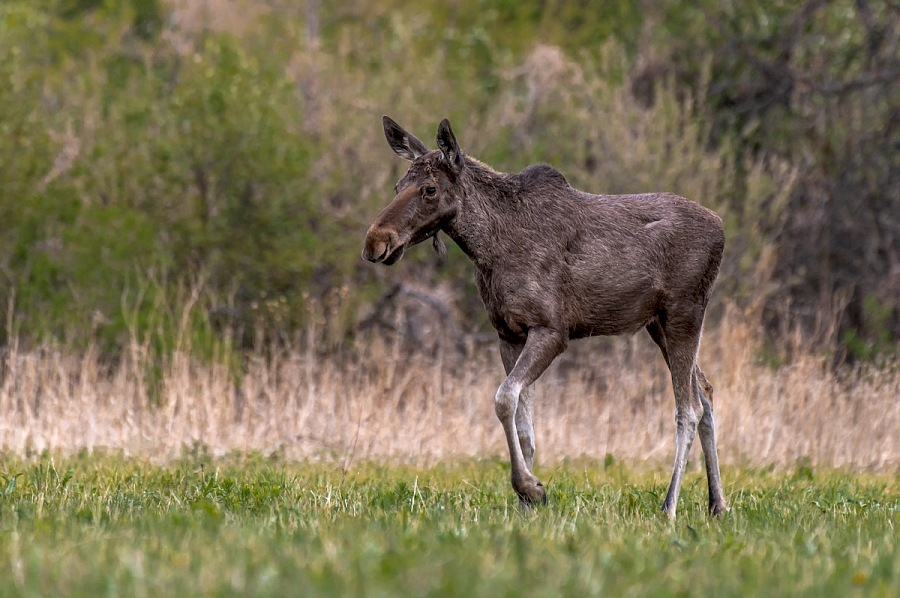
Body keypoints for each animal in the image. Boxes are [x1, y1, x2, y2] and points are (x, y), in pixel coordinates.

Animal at [362, 116, 728, 520]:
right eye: (398, 186)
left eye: (429, 189)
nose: (375, 241)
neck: (487, 250)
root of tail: (721, 228)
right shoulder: (509, 333)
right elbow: (524, 423)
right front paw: (527, 504)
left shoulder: (552, 330)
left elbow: (504, 399)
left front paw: (530, 488)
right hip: (657, 324)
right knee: (706, 393)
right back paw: (717, 503)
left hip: (684, 312)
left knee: (688, 408)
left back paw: (669, 506)